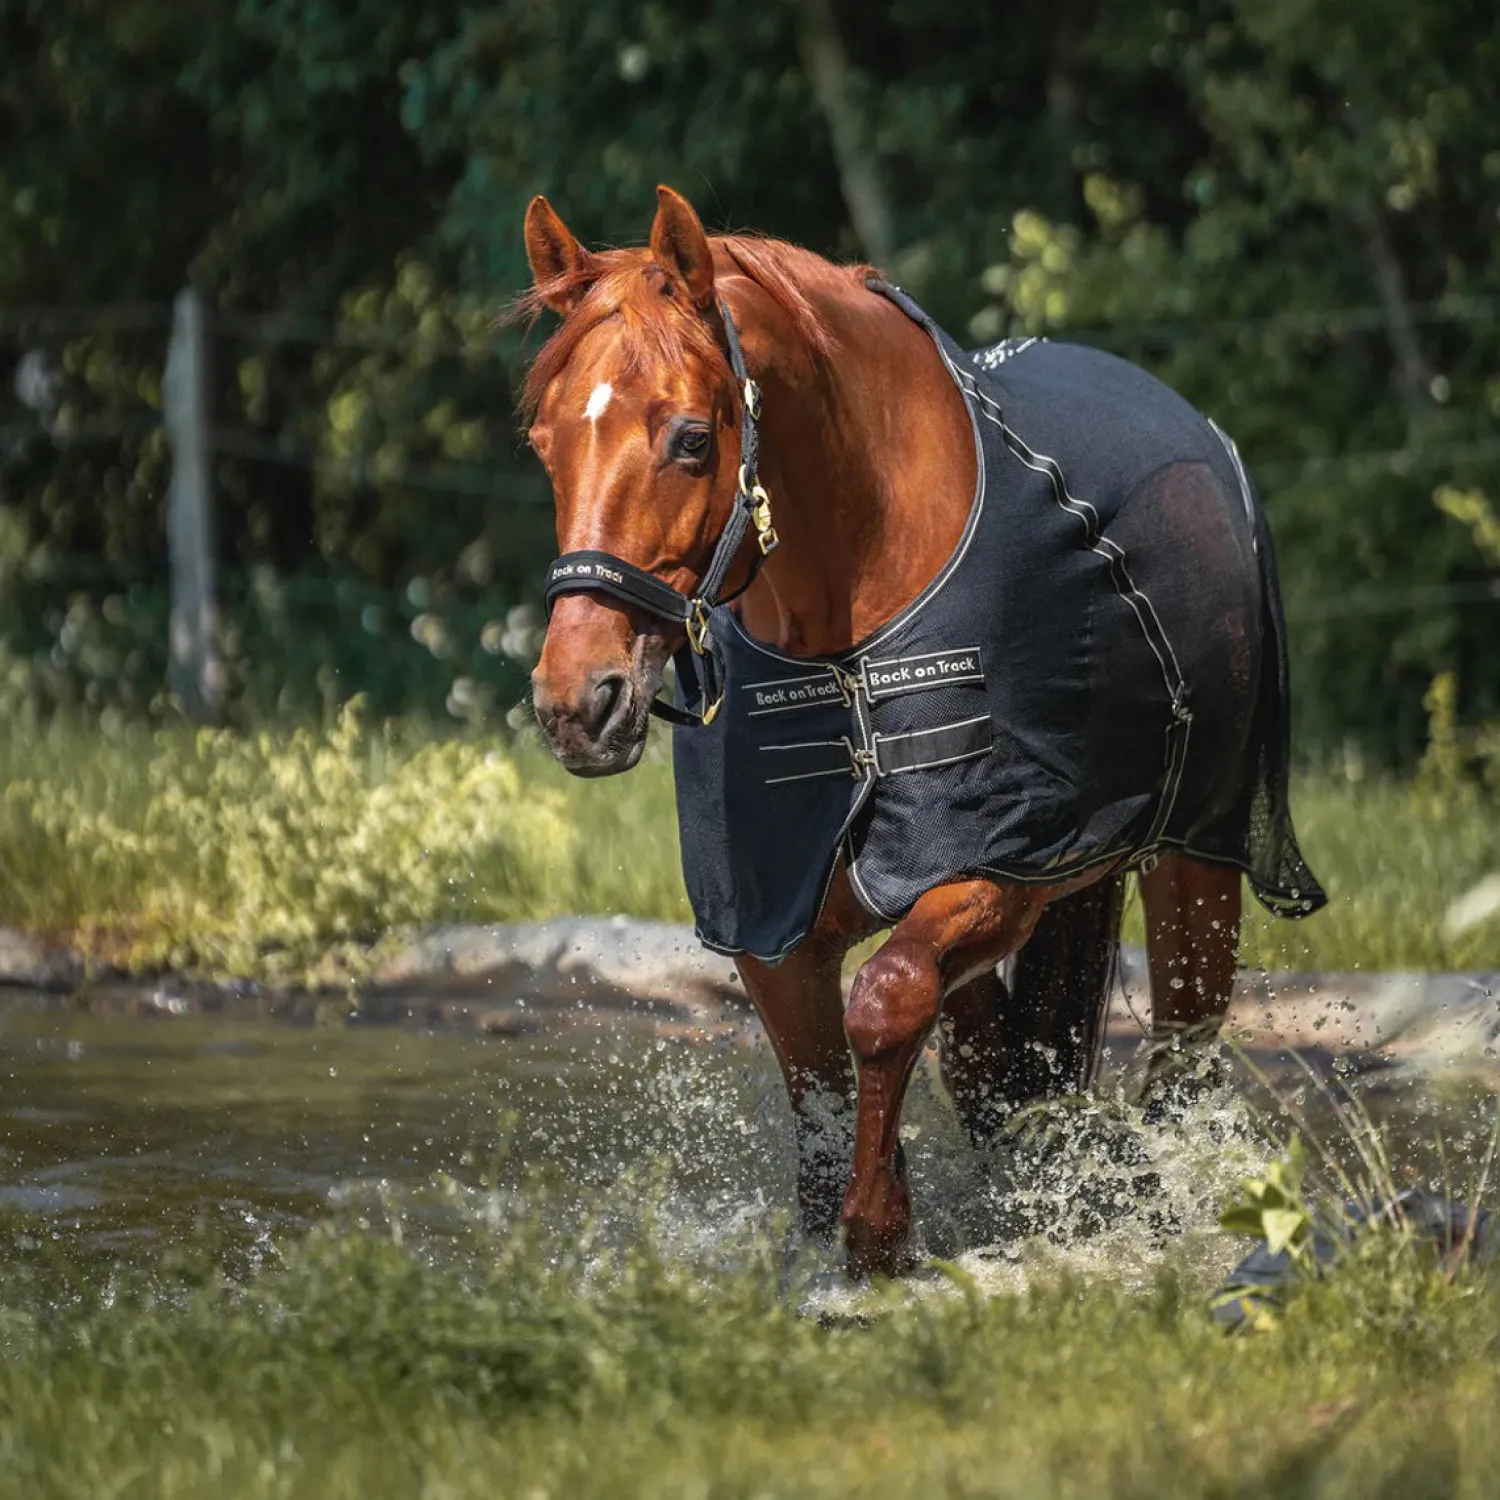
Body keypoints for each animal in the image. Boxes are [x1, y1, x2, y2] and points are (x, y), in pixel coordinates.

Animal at [520, 185, 1325, 1279]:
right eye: (544, 443)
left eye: (690, 438)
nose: (579, 701)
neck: (854, 629)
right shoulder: (772, 930)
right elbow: (828, 1093)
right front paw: (835, 1247)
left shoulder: (996, 873)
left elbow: (887, 999)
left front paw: (879, 1239)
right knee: (994, 1067)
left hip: (1198, 861)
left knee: (1178, 1060)